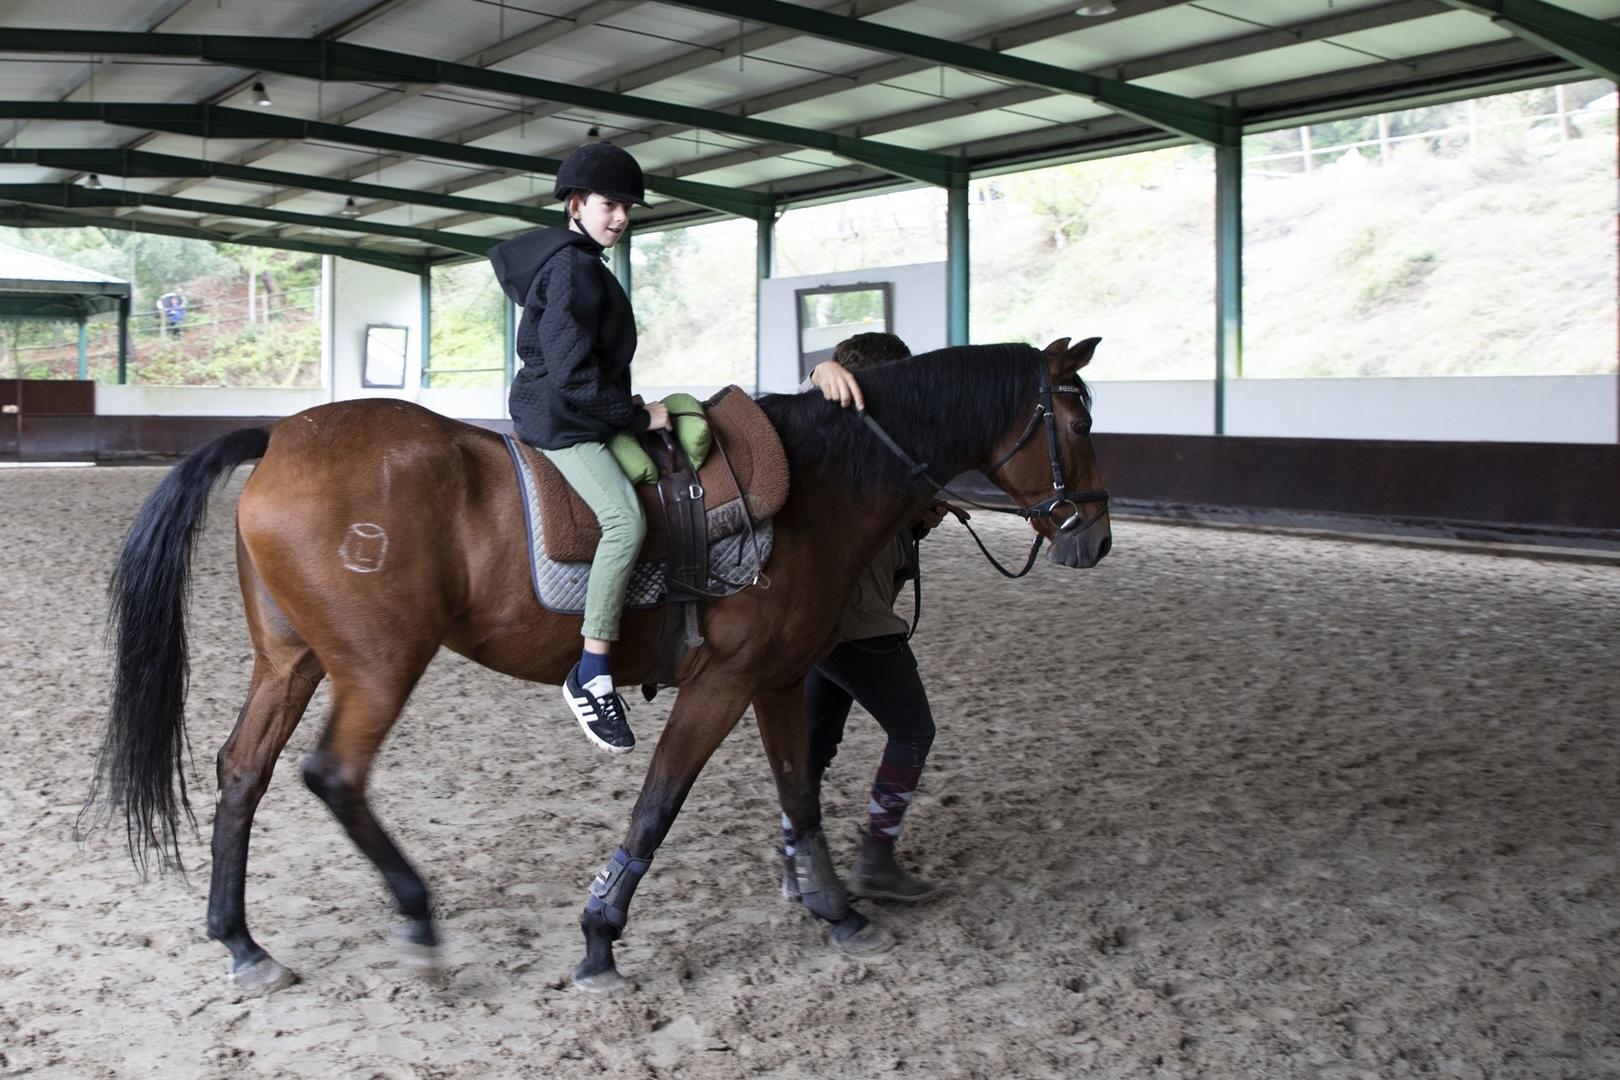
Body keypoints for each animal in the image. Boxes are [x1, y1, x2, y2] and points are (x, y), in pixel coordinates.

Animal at [85, 338, 1114, 997]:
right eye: (1075, 418)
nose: (1095, 537)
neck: (819, 483)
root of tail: (283, 436)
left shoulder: (779, 680)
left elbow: (800, 794)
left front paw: (836, 912)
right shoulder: (722, 682)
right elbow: (658, 805)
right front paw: (598, 945)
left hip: (291, 662)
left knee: (242, 772)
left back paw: (243, 944)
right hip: (378, 666)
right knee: (331, 775)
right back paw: (417, 922)